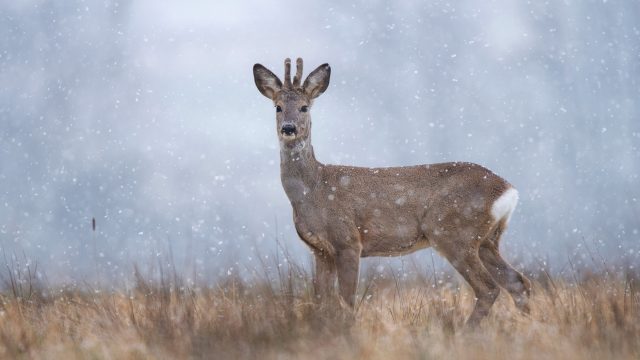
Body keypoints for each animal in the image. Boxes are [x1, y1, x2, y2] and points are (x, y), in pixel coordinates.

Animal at [254, 57, 528, 326]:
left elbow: (346, 301)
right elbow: (322, 301)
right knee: (517, 282)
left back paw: (465, 330)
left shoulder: (348, 240)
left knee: (489, 288)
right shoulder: (320, 250)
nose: (289, 128)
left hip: (454, 232)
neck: (313, 190)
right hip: (487, 239)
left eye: (304, 107)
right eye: (277, 107)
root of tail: (508, 189)